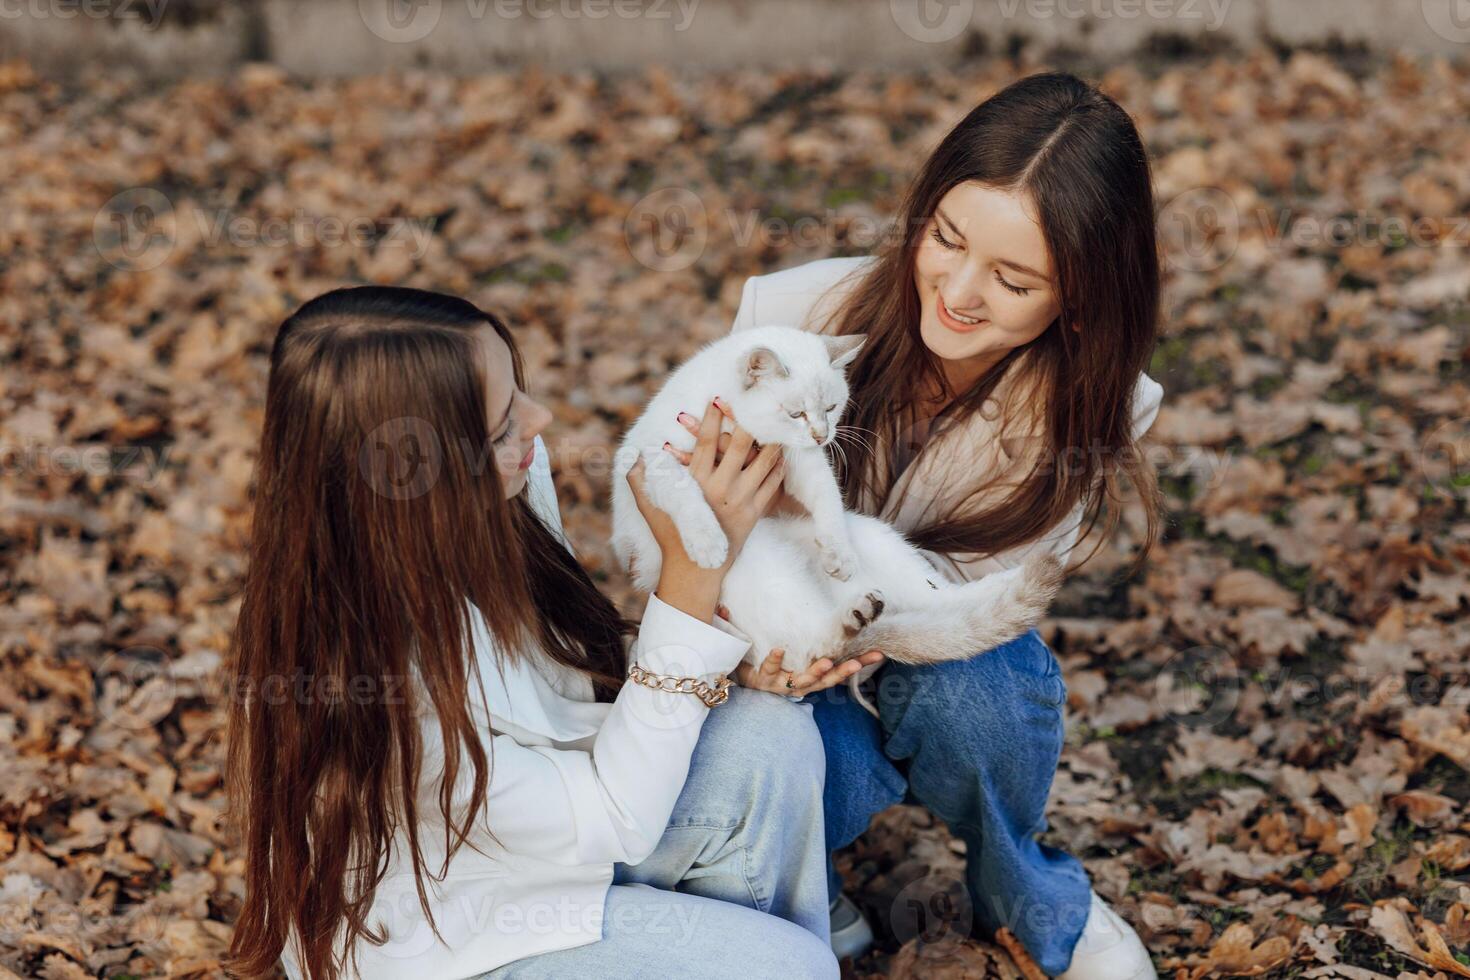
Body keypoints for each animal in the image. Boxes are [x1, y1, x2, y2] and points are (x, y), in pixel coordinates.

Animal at [611, 327, 1070, 681]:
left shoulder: (802, 461)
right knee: (811, 648)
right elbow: (687, 495)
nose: (822, 434)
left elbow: (828, 501)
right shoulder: (656, 461)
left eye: (831, 408)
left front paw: (838, 554)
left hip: (874, 537)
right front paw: (707, 543)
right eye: (796, 413)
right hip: (759, 562)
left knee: (940, 599)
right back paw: (855, 615)